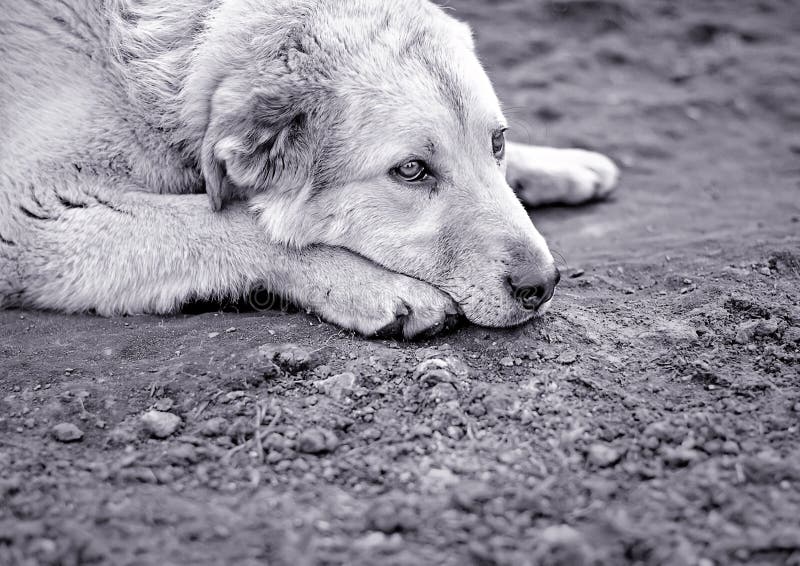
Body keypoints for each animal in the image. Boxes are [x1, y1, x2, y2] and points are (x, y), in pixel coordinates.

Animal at [0, 0, 620, 338]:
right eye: (411, 170)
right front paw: (375, 284)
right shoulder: (29, 215)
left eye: (498, 142)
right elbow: (233, 224)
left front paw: (560, 163)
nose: (543, 285)